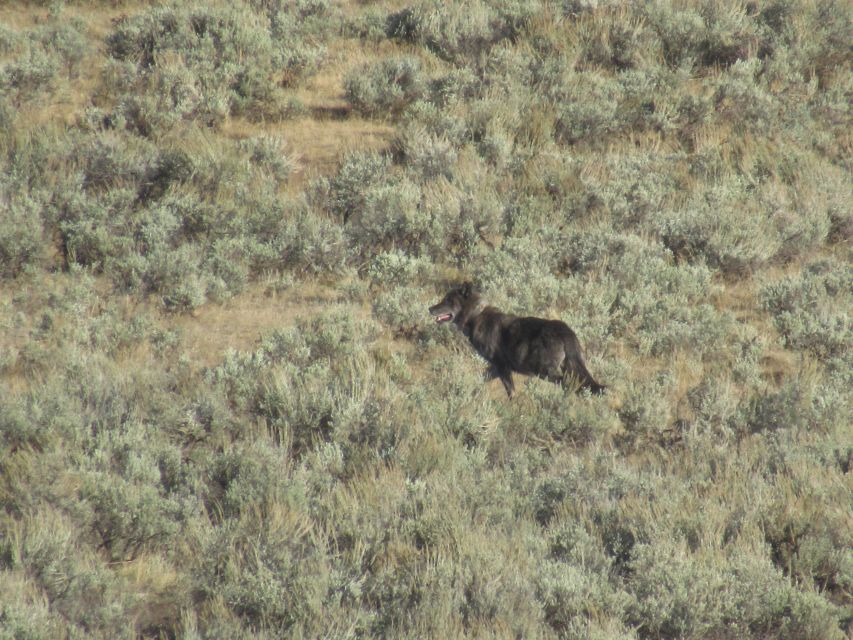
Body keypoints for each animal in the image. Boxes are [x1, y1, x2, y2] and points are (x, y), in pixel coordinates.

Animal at [426, 282, 604, 398]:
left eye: (448, 301)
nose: (430, 309)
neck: (475, 316)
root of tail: (565, 332)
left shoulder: (502, 366)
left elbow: (511, 392)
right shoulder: (496, 368)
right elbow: (480, 382)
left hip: (545, 371)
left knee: (568, 384)